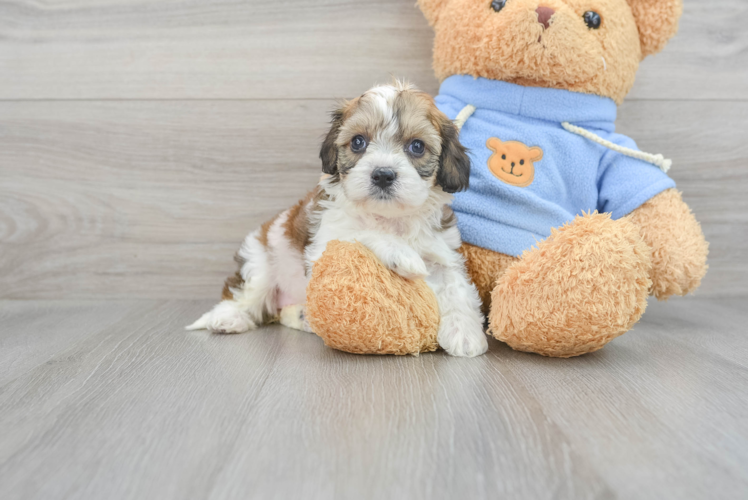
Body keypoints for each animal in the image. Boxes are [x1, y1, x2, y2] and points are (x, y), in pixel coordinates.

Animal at [190, 81, 488, 356]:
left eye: (417, 146)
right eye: (358, 142)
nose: (383, 174)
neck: (391, 218)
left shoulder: (442, 249)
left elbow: (457, 286)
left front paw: (465, 333)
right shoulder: (326, 242)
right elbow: (362, 233)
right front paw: (402, 255)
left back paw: (303, 318)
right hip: (259, 261)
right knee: (244, 292)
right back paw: (227, 318)